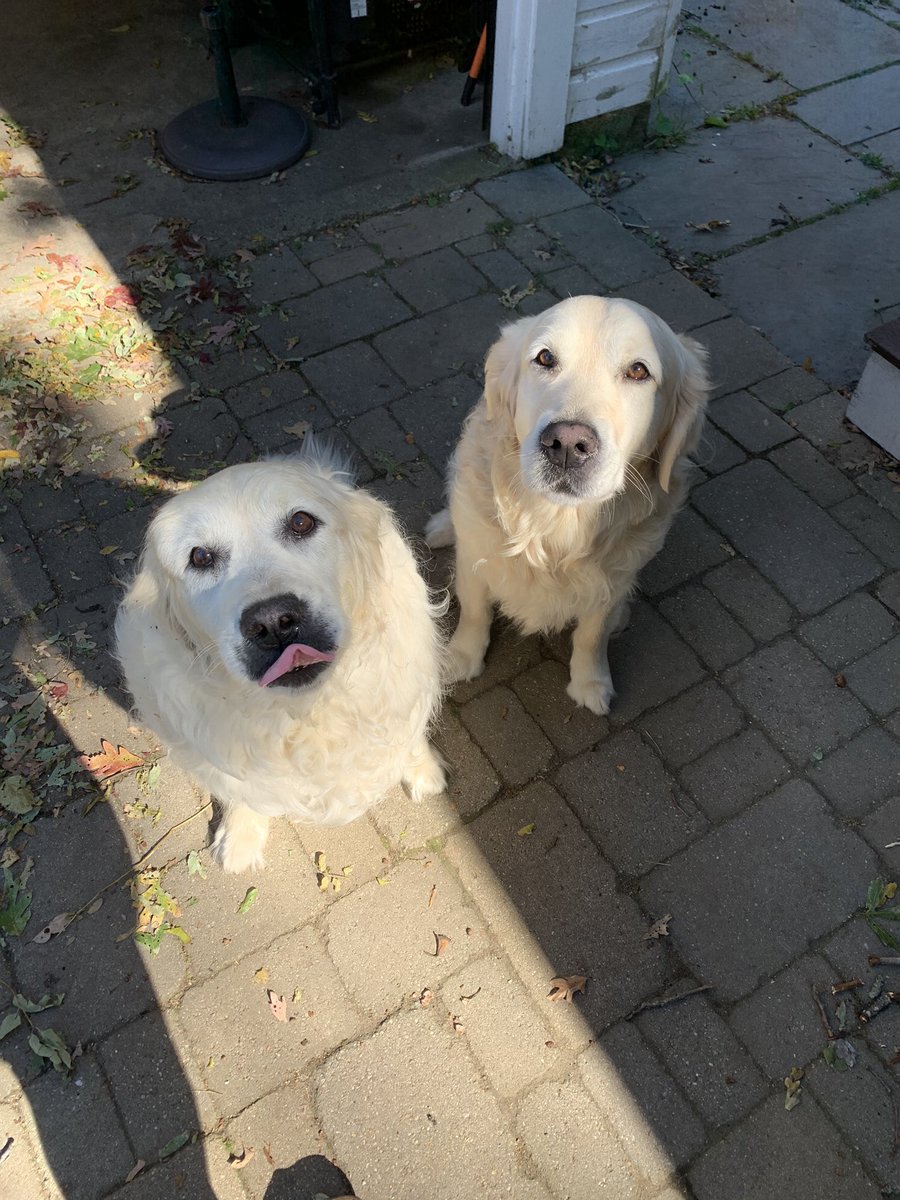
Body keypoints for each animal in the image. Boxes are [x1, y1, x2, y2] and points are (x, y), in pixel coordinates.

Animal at [115, 441, 446, 873]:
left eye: (301, 522)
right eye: (200, 557)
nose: (273, 622)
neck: (307, 712)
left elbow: (408, 734)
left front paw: (423, 770)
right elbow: (239, 789)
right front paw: (240, 836)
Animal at [426, 295, 710, 715]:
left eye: (638, 371)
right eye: (545, 358)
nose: (567, 445)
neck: (554, 531)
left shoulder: (614, 580)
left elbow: (593, 635)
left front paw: (591, 683)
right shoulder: (475, 562)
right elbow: (475, 610)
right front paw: (461, 658)